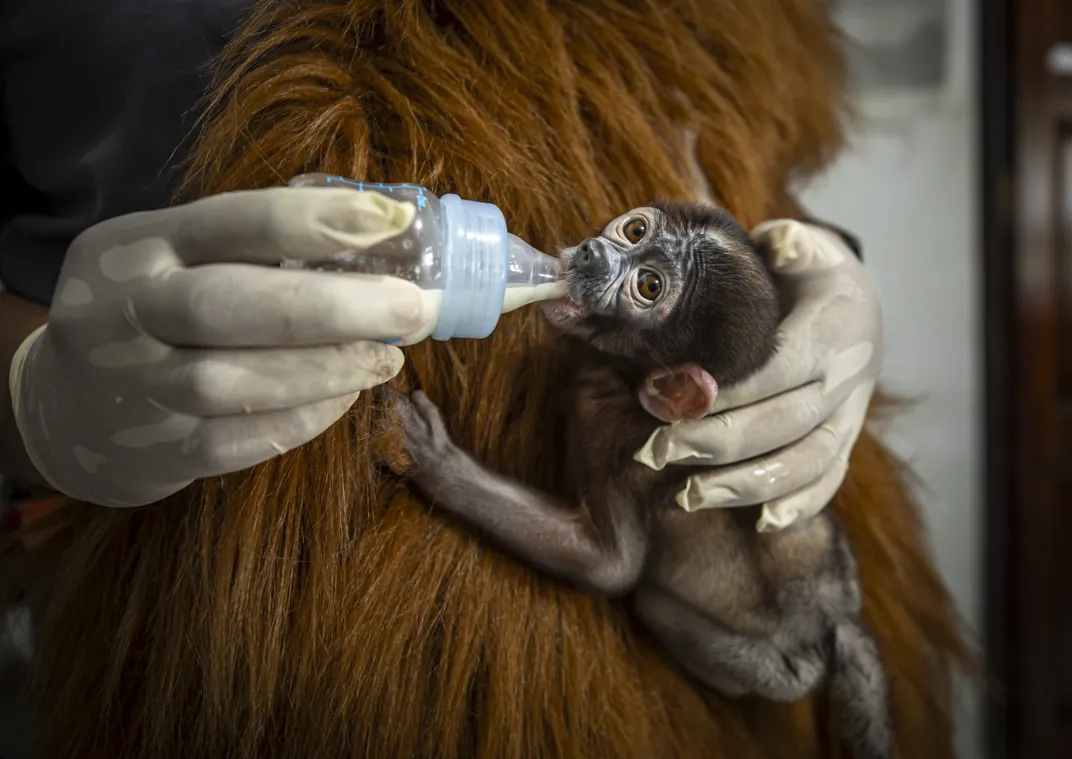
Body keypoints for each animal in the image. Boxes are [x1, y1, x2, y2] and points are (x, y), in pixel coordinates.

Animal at [389, 202, 894, 759]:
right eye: (635, 230)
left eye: (648, 286)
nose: (592, 252)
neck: (627, 379)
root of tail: (836, 616)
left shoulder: (617, 437)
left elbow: (611, 568)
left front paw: (434, 459)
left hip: (765, 666)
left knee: (655, 605)